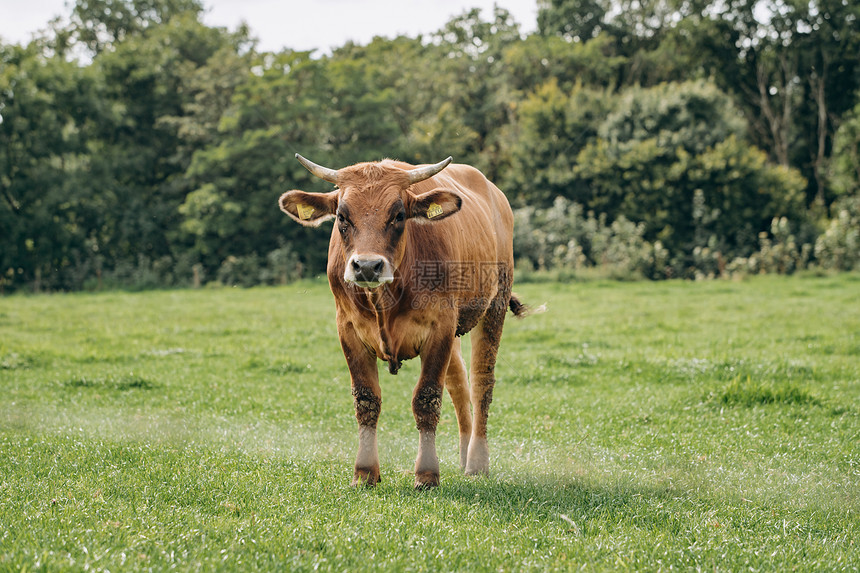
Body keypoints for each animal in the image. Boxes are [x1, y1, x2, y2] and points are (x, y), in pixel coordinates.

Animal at [280, 153, 524, 488]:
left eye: (398, 215)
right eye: (342, 216)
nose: (367, 266)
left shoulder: (439, 327)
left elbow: (427, 398)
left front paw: (427, 474)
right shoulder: (348, 329)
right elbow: (366, 400)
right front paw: (364, 472)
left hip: (495, 304)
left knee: (481, 382)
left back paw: (477, 461)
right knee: (459, 383)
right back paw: (464, 455)